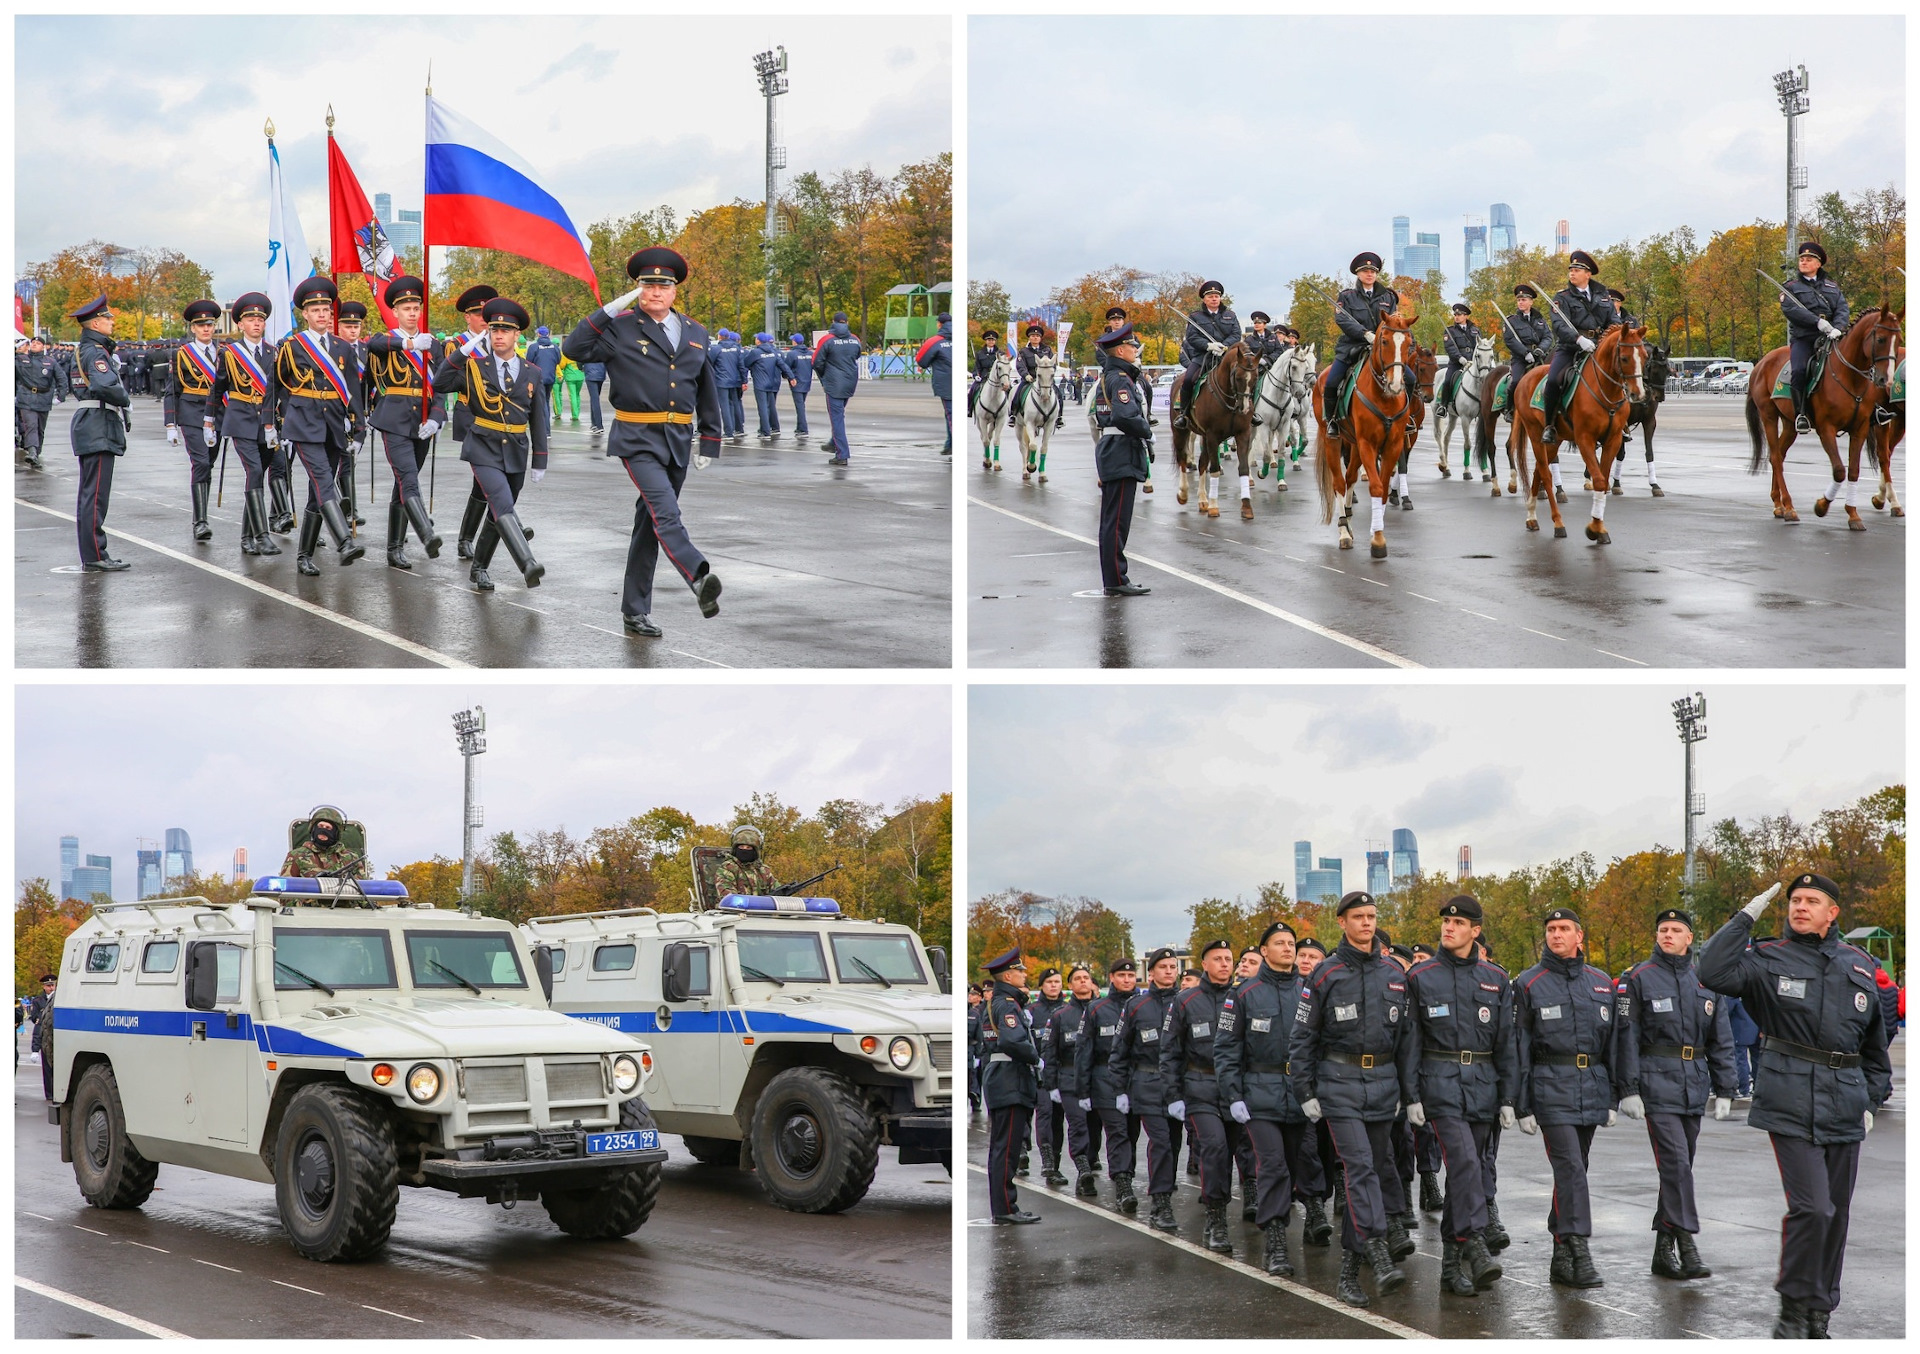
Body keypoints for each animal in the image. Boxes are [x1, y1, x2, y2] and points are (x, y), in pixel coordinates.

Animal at [1167, 343, 1259, 518]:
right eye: (1238, 377)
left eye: (1256, 378)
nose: (1244, 408)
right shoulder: (1212, 436)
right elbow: (1215, 470)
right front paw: (1214, 506)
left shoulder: (1242, 434)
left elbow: (1243, 469)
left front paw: (1246, 507)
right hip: (1180, 432)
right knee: (1182, 459)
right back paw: (1183, 494)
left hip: (1203, 436)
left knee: (1202, 463)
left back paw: (1203, 500)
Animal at [1313, 311, 1420, 553]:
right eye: (1384, 341)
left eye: (1408, 342)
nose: (1396, 385)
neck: (1384, 397)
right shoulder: (1367, 445)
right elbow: (1376, 486)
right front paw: (1378, 540)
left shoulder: (1392, 445)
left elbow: (1383, 488)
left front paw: (1377, 532)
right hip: (1333, 440)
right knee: (1339, 483)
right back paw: (1343, 530)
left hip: (1353, 444)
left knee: (1350, 477)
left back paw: (1349, 520)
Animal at [1505, 322, 1643, 537]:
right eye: (1625, 358)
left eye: (1645, 356)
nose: (1638, 394)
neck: (1604, 390)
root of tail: (1525, 378)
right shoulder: (1584, 439)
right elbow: (1599, 481)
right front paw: (1595, 528)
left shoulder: (1612, 440)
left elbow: (1603, 480)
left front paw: (1598, 526)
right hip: (1535, 434)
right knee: (1545, 474)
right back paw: (1558, 523)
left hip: (1556, 439)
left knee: (1538, 471)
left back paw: (1532, 517)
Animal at [1743, 307, 1904, 530]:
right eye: (1880, 339)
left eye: (1899, 340)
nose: (1885, 379)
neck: (1849, 377)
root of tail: (1761, 363)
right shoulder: (1826, 428)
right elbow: (1839, 470)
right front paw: (1822, 506)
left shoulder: (1860, 429)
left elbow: (1853, 471)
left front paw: (1853, 514)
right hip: (1768, 416)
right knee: (1775, 457)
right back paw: (1789, 507)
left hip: (1790, 423)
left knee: (1780, 456)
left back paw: (1779, 504)